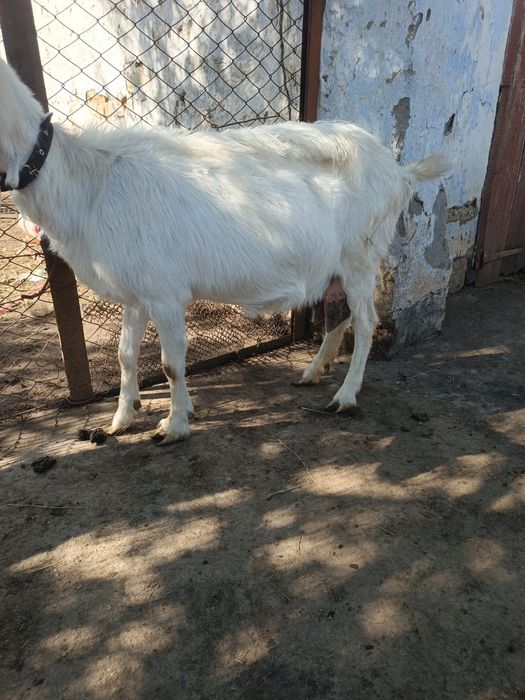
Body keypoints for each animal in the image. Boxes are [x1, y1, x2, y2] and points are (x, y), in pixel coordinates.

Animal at [0, 58, 449, 444]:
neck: (89, 184)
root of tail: (398, 171)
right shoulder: (136, 292)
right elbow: (125, 355)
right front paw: (120, 419)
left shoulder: (165, 294)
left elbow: (170, 364)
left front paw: (174, 425)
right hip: (336, 267)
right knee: (337, 315)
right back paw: (312, 372)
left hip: (361, 256)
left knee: (367, 322)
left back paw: (345, 396)